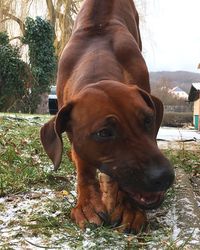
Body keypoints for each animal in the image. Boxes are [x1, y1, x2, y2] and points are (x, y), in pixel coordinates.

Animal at [39, 0, 174, 233]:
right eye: (103, 133)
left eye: (148, 120)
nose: (164, 176)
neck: (97, 61)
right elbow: (83, 165)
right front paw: (86, 203)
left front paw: (128, 208)